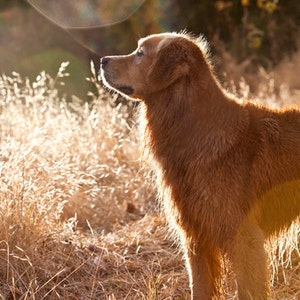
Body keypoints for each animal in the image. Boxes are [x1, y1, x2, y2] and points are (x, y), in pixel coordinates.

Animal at [99, 31, 298, 298]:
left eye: (140, 53)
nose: (102, 61)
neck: (194, 129)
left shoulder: (244, 239)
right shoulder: (195, 237)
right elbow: (199, 288)